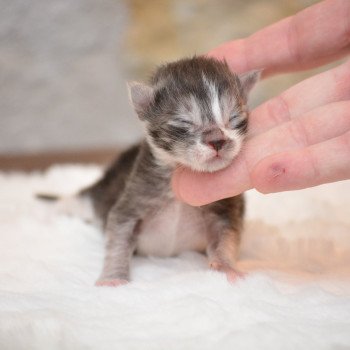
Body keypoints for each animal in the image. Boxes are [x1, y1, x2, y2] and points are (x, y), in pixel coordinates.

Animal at [50, 56, 258, 286]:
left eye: (234, 118)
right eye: (184, 122)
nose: (217, 140)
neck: (179, 169)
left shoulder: (225, 209)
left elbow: (226, 237)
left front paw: (225, 266)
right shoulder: (132, 201)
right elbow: (118, 237)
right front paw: (114, 278)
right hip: (104, 189)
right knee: (82, 199)